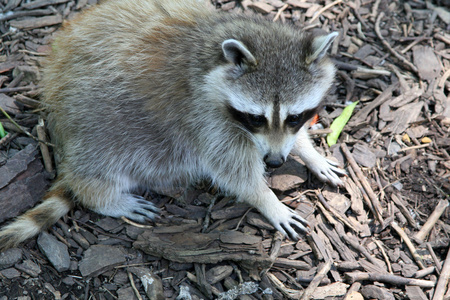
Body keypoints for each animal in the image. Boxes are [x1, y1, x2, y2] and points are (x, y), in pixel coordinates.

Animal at [0, 0, 344, 250]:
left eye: (295, 117)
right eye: (256, 118)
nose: (274, 161)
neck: (213, 45)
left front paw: (308, 152)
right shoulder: (202, 114)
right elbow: (232, 171)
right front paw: (268, 200)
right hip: (97, 121)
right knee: (106, 157)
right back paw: (101, 195)